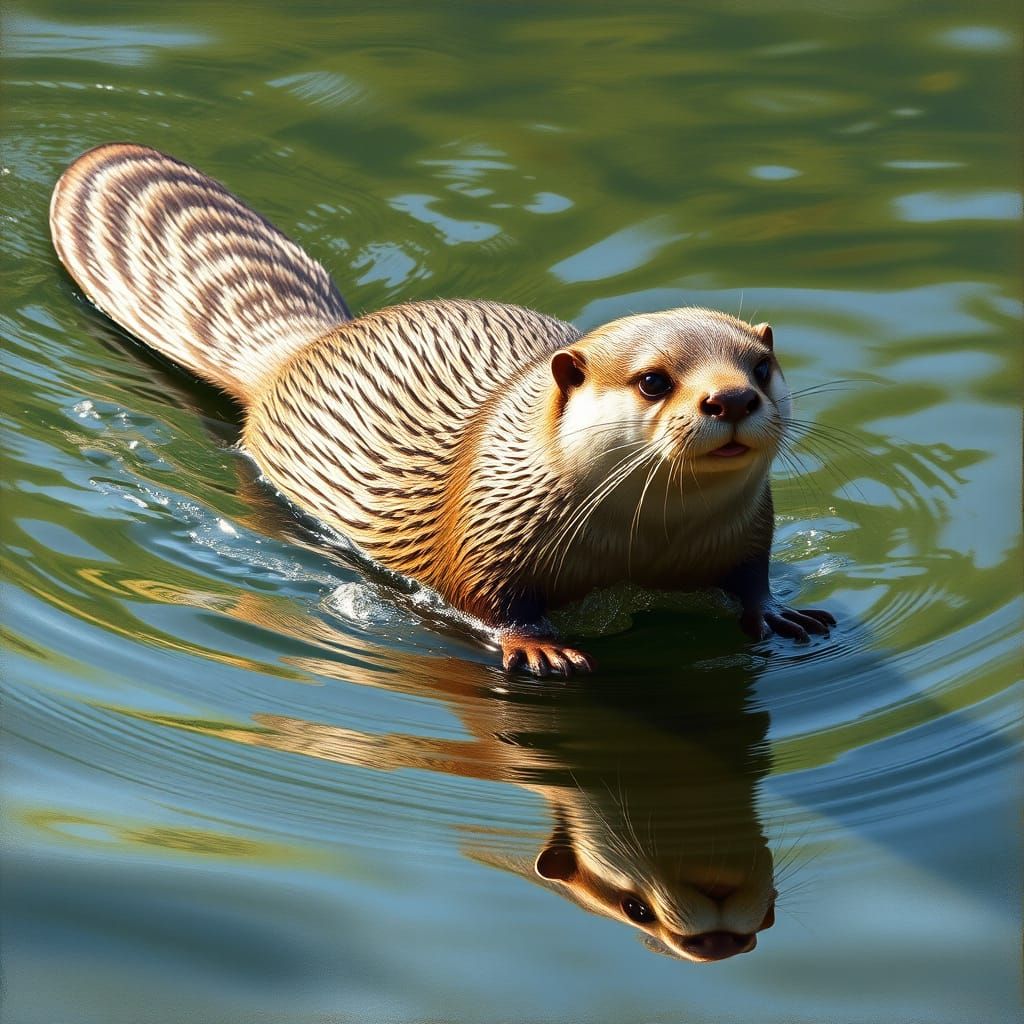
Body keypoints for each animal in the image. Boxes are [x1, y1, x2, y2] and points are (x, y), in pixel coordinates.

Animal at [49, 142, 834, 675]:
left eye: (760, 366)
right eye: (652, 381)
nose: (731, 398)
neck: (646, 544)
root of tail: (300, 346)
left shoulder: (749, 530)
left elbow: (751, 575)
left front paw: (780, 612)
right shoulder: (484, 531)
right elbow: (486, 600)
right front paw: (540, 647)